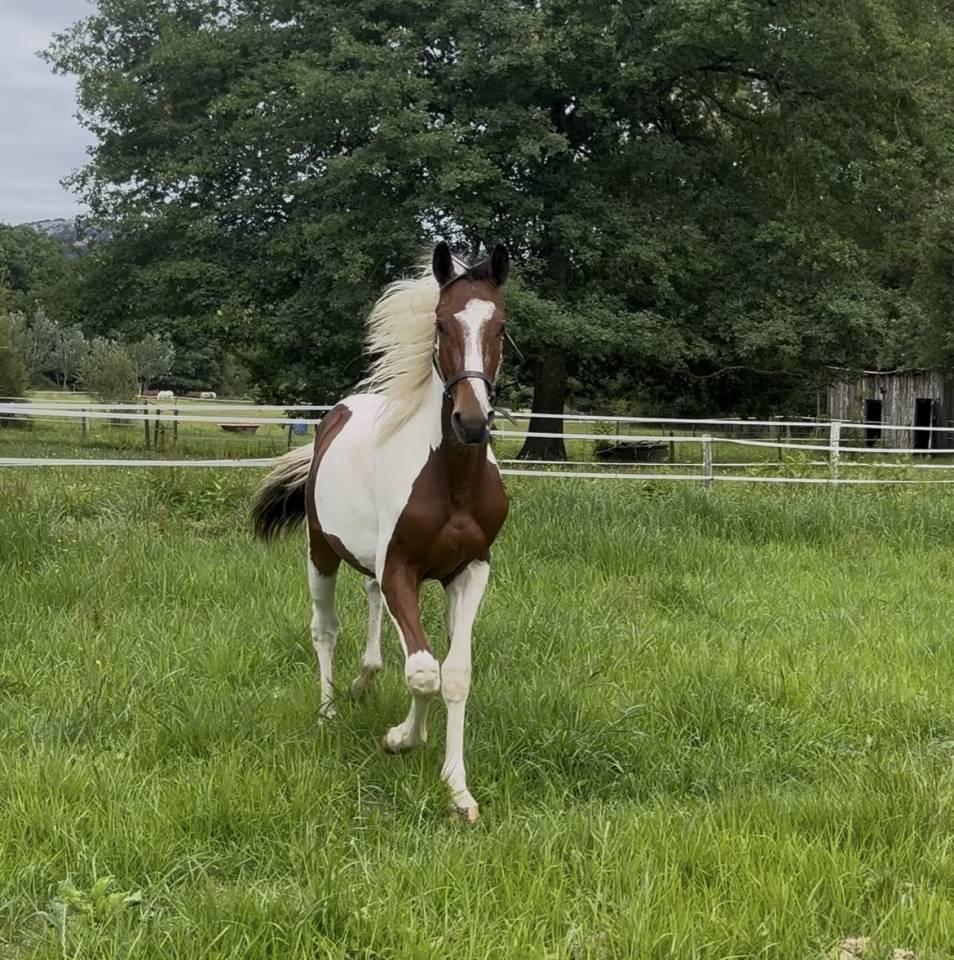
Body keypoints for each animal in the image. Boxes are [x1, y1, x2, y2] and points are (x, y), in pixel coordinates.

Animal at [251, 242, 511, 822]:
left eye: (501, 326)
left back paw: (364, 680)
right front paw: (399, 739)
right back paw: (328, 711)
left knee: (370, 608)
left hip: (373, 562)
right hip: (320, 553)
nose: (471, 423)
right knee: (324, 629)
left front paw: (458, 790)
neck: (453, 483)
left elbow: (453, 673)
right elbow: (423, 671)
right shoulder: (401, 571)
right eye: (440, 324)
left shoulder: (470, 571)